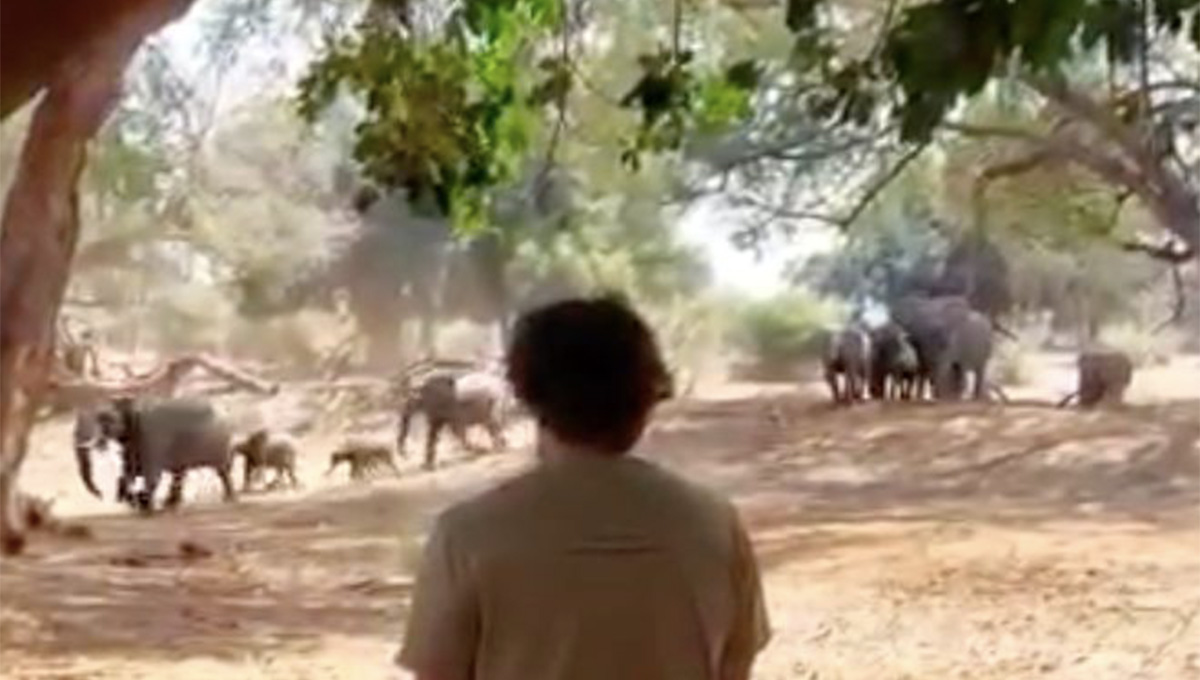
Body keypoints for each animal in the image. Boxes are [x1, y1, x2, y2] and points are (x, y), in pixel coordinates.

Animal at [74, 395, 236, 513]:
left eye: (105, 419)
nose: (101, 495)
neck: (130, 401)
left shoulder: (151, 433)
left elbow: (151, 473)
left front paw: (145, 506)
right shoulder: (133, 441)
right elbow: (128, 472)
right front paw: (134, 503)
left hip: (219, 443)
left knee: (222, 471)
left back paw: (229, 500)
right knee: (180, 473)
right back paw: (170, 504)